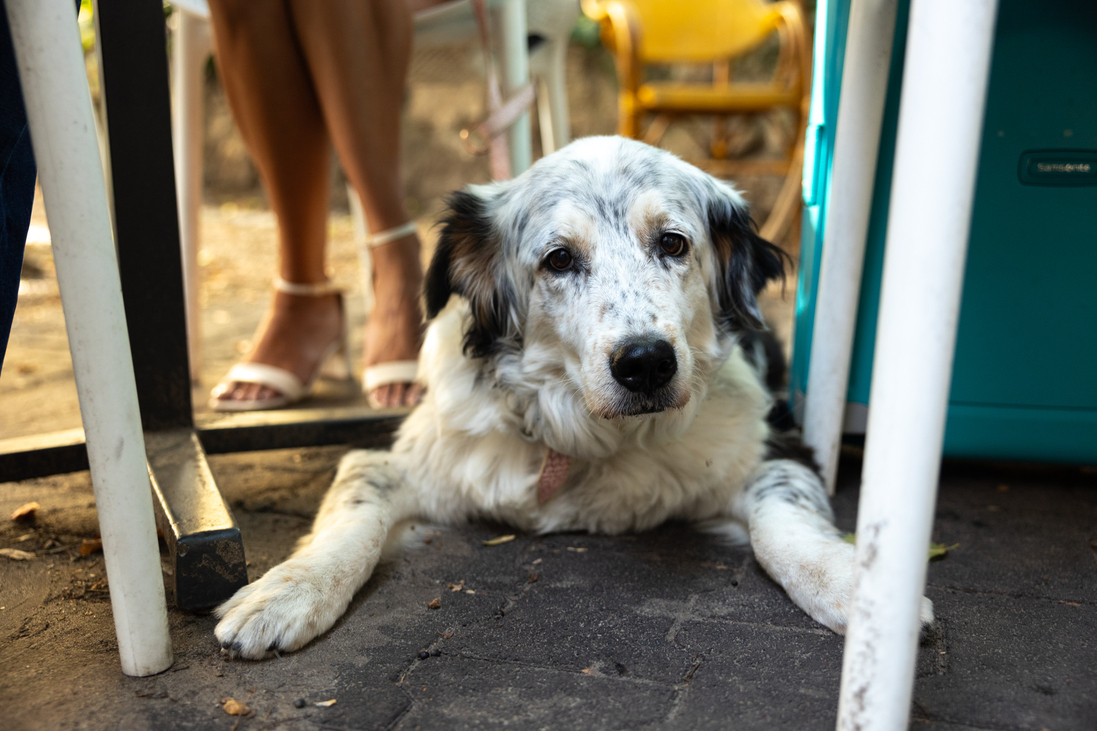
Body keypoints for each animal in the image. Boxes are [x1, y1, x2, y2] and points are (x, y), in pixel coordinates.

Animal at [216, 135, 934, 654]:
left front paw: (858, 592)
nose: (645, 363)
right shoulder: (397, 460)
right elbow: (354, 513)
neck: (589, 437)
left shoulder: (778, 452)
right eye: (558, 259)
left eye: (673, 243)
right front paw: (284, 592)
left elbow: (787, 529)